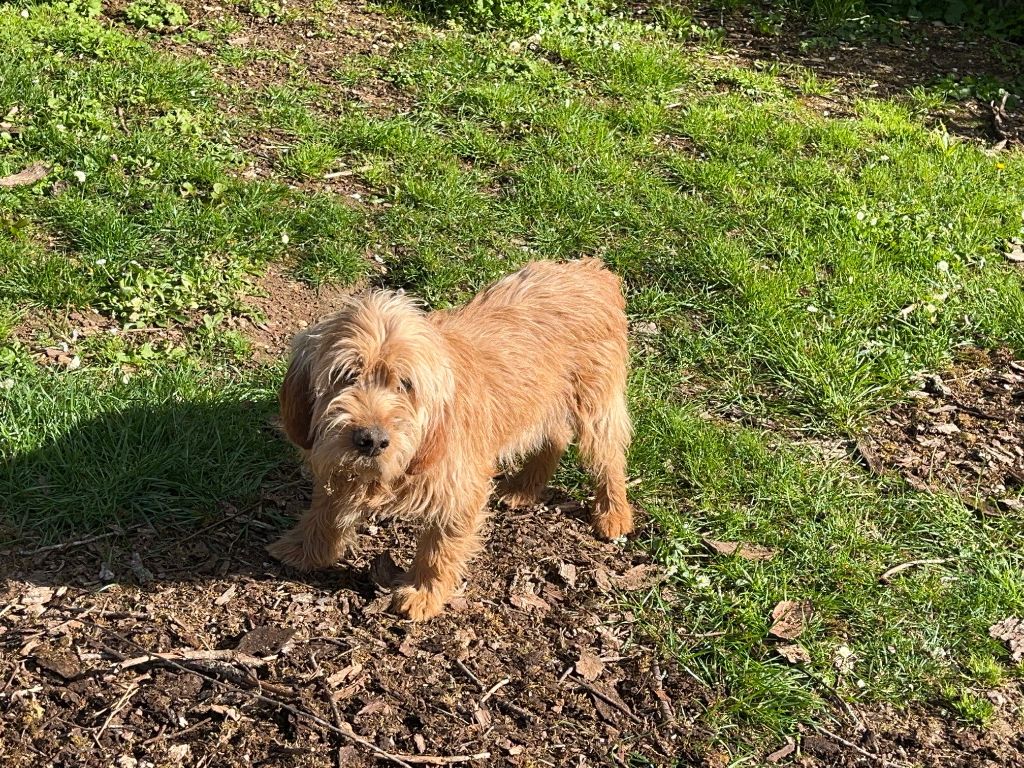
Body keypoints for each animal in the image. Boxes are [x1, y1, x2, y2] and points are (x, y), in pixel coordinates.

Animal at [266, 262, 630, 622]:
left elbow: (438, 548)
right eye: (346, 375)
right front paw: (304, 549)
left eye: (406, 384)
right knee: (556, 436)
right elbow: (325, 510)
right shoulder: (338, 464)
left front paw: (424, 593)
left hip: (597, 406)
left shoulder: (460, 490)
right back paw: (524, 488)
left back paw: (613, 514)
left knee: (609, 457)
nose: (372, 441)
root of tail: (593, 271)